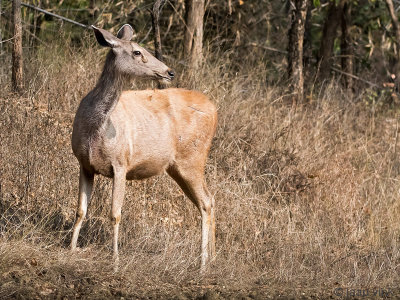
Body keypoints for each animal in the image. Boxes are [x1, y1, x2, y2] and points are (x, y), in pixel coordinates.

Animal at [70, 24, 217, 268]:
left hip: (193, 158)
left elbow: (115, 213)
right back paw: (210, 258)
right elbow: (80, 210)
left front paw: (115, 260)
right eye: (137, 52)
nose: (170, 71)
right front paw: (71, 248)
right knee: (207, 200)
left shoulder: (121, 162)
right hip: (178, 167)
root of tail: (215, 110)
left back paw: (204, 264)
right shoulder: (84, 164)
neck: (95, 128)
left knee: (206, 201)